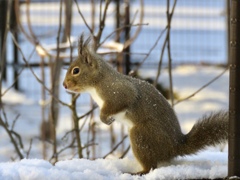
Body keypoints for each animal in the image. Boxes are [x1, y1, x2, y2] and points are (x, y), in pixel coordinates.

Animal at [62, 34, 228, 175]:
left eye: (76, 70)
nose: (64, 85)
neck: (98, 81)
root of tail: (174, 147)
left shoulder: (117, 92)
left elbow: (122, 101)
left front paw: (104, 118)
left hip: (141, 136)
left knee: (151, 166)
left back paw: (137, 172)